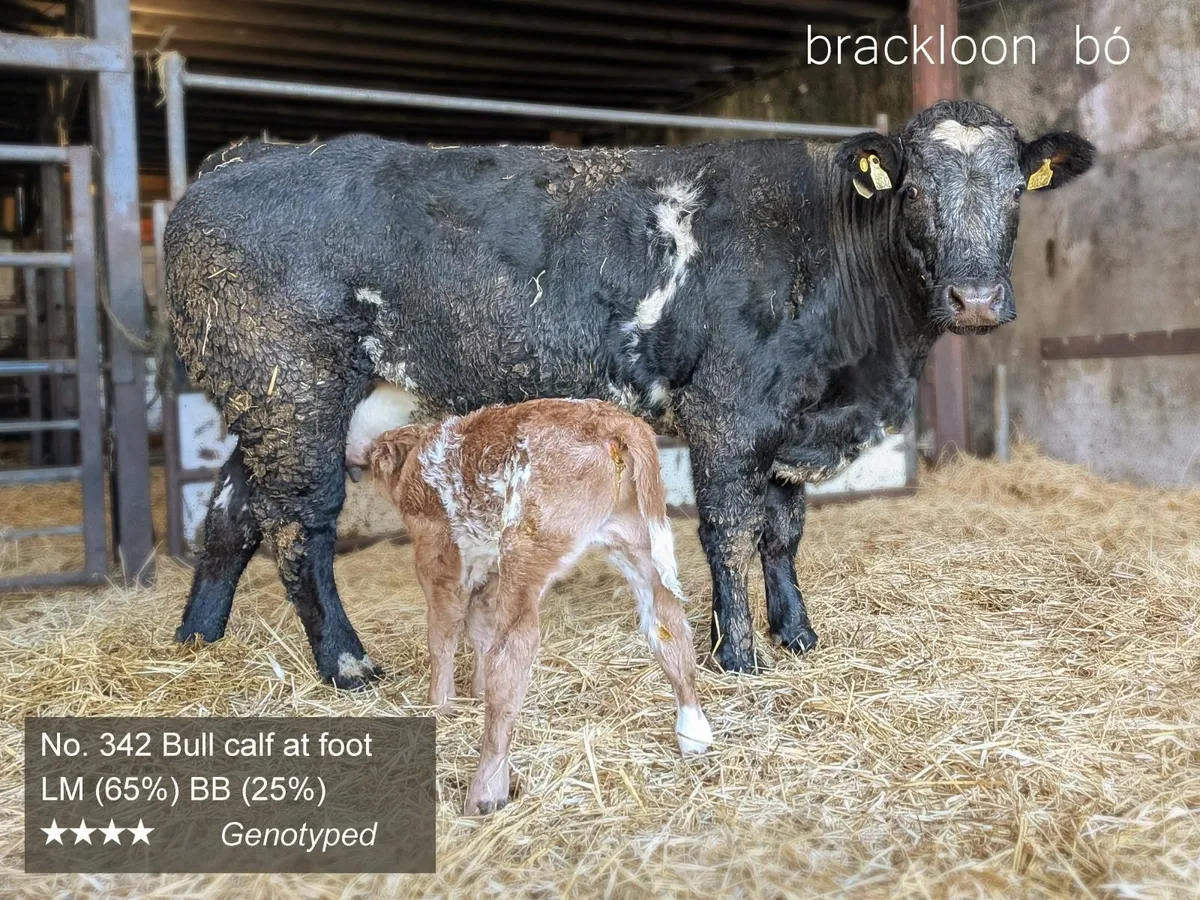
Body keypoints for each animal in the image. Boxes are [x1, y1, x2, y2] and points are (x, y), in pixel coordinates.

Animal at [166, 99, 1095, 686]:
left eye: (1014, 193)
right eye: (916, 191)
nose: (976, 298)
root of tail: (246, 154)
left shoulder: (792, 422)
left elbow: (784, 533)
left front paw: (796, 634)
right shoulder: (730, 411)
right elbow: (731, 533)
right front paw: (737, 656)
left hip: (279, 410)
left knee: (231, 516)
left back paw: (196, 641)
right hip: (294, 395)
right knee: (297, 532)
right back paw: (346, 664)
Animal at [367, 398, 713, 814]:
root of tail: (611, 419)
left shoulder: (438, 557)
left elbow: (443, 634)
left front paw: (439, 705)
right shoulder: (486, 568)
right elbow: (479, 629)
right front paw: (472, 692)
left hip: (525, 544)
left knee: (513, 654)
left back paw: (486, 791)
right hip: (636, 540)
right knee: (668, 627)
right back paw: (694, 735)